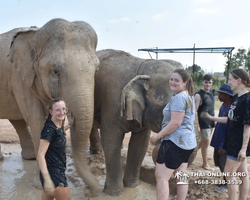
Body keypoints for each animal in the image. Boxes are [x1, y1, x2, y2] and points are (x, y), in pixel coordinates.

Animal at [0, 18, 99, 195]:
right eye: (56, 71)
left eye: (97, 69)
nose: (96, 190)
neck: (35, 34)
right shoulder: (19, 77)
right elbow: (36, 119)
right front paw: (43, 186)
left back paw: (29, 157)